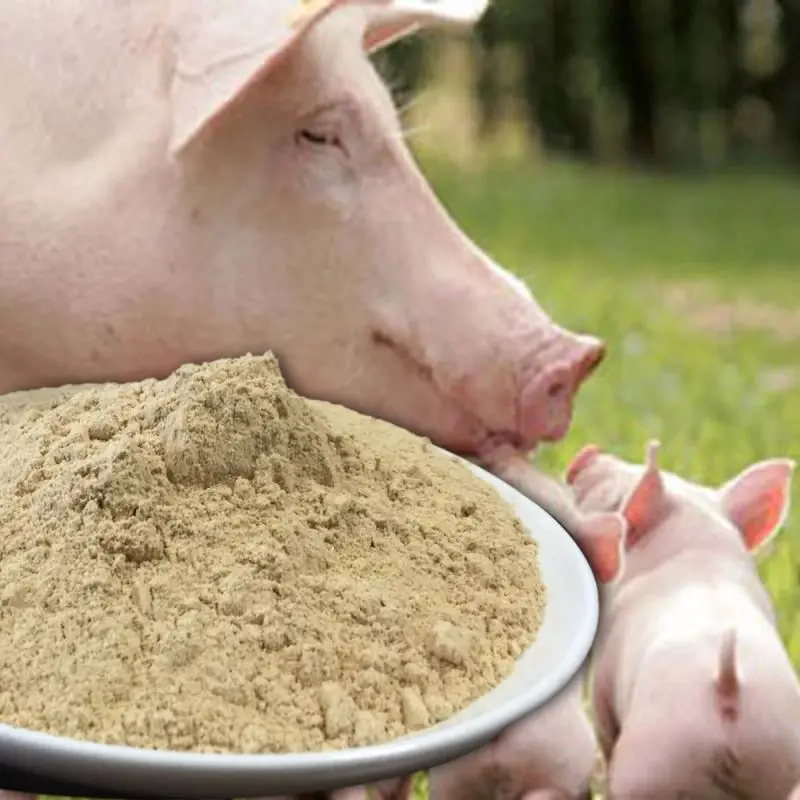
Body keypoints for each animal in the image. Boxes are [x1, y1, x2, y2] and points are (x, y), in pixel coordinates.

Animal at [566, 439, 800, 799]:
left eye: (616, 500)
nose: (589, 452)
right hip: (779, 755)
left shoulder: (604, 679)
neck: (698, 555)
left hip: (650, 764)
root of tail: (728, 688)